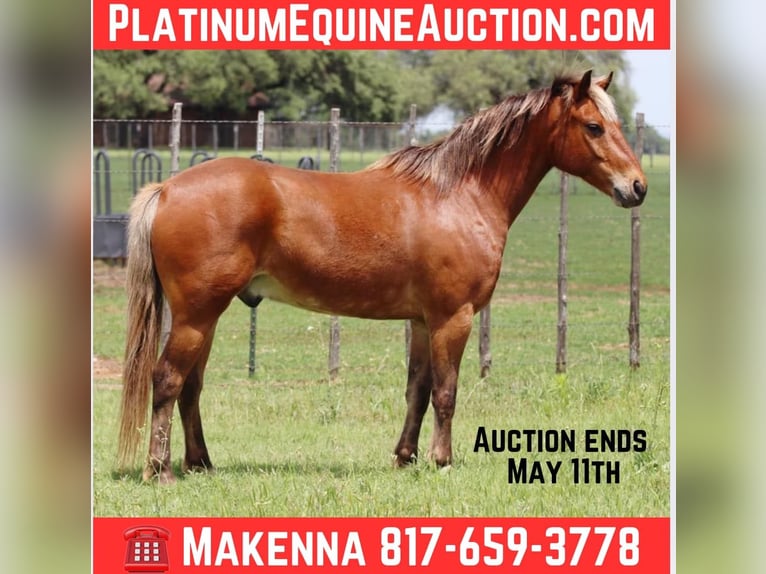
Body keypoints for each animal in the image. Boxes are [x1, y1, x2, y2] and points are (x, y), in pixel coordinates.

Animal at [117, 70, 647, 483]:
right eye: (594, 126)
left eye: (616, 124)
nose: (638, 186)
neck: (458, 194)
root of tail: (167, 189)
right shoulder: (453, 318)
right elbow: (446, 392)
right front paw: (442, 461)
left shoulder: (422, 321)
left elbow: (417, 390)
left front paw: (405, 457)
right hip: (196, 315)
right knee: (167, 380)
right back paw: (160, 470)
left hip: (205, 316)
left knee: (190, 386)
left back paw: (200, 463)